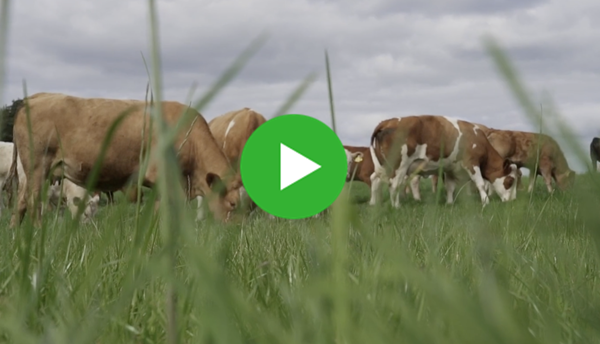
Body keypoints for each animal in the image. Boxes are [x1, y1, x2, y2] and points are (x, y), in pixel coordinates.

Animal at [7, 91, 241, 227]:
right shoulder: (164, 179)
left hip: (30, 172)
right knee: (33, 202)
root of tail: (38, 96)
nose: (232, 231)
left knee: (21, 202)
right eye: (233, 203)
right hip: (38, 166)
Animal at [368, 115, 516, 207]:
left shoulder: (450, 167)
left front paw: (449, 203)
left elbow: (449, 187)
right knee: (394, 185)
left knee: (375, 179)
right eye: (510, 181)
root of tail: (388, 121)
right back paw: (396, 206)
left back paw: (373, 203)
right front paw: (485, 202)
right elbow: (480, 183)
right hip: (399, 165)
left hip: (382, 165)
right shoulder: (472, 163)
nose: (512, 201)